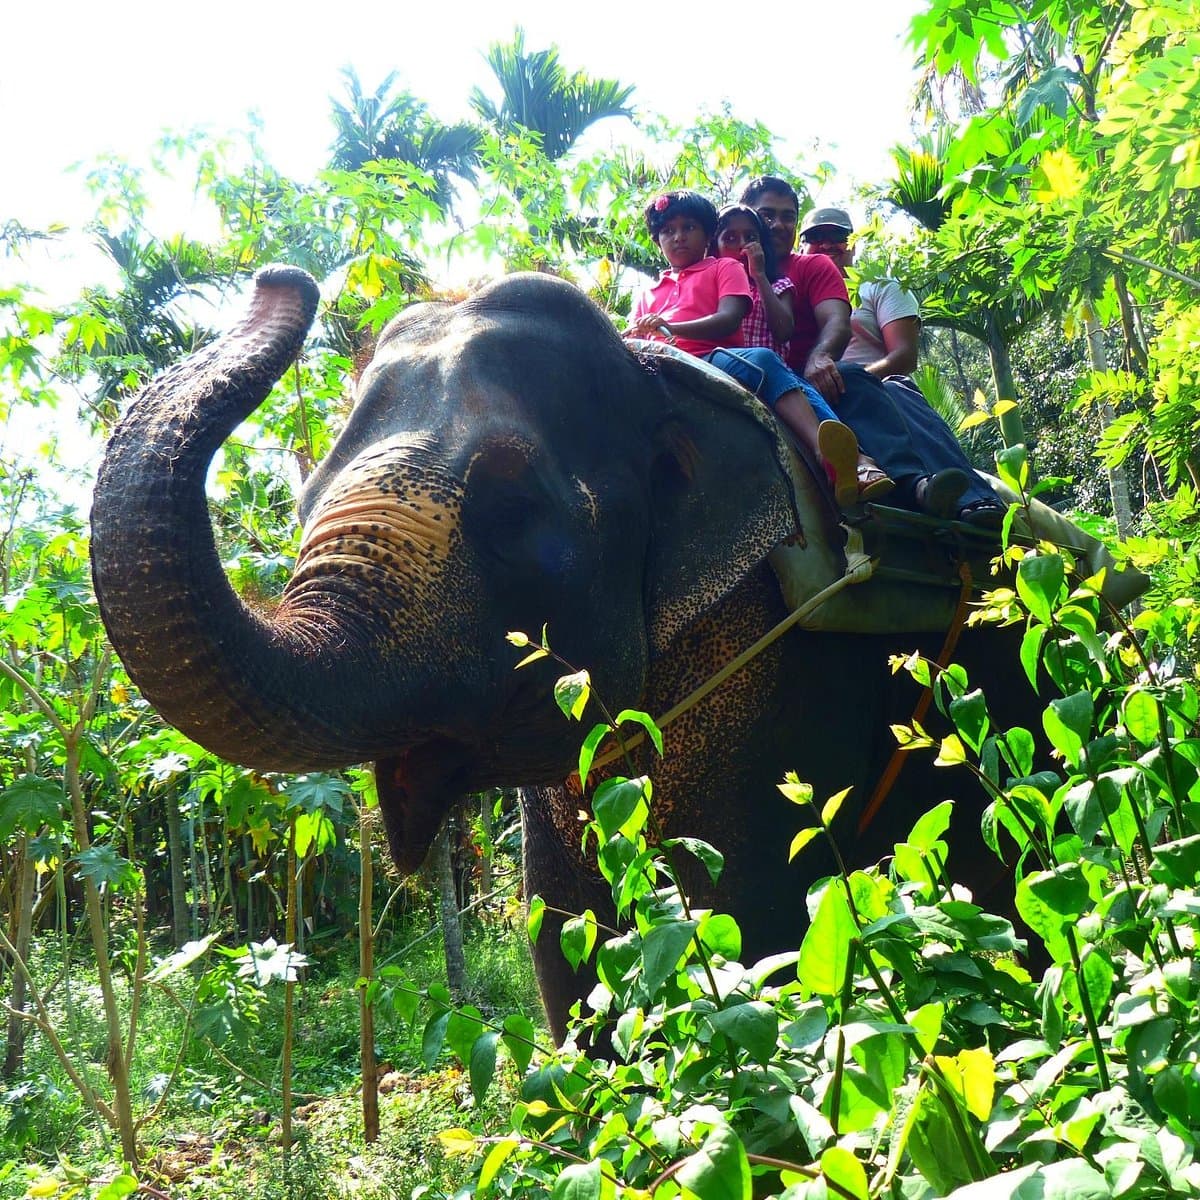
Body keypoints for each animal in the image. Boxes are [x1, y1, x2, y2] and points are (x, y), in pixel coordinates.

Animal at [90, 265, 1115, 1040]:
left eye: (510, 511)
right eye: (302, 507)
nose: (283, 278)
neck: (655, 381)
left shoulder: (782, 647)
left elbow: (751, 917)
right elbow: (563, 931)